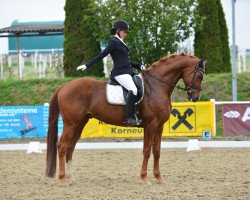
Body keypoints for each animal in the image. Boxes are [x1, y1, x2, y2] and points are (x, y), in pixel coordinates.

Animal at [45, 52, 205, 184]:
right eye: (199, 76)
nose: (195, 98)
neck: (157, 86)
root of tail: (65, 86)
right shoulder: (151, 124)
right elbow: (147, 150)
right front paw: (144, 178)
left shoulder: (159, 126)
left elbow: (157, 151)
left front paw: (159, 177)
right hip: (70, 123)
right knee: (62, 146)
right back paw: (62, 179)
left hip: (80, 123)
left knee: (70, 146)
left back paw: (70, 178)